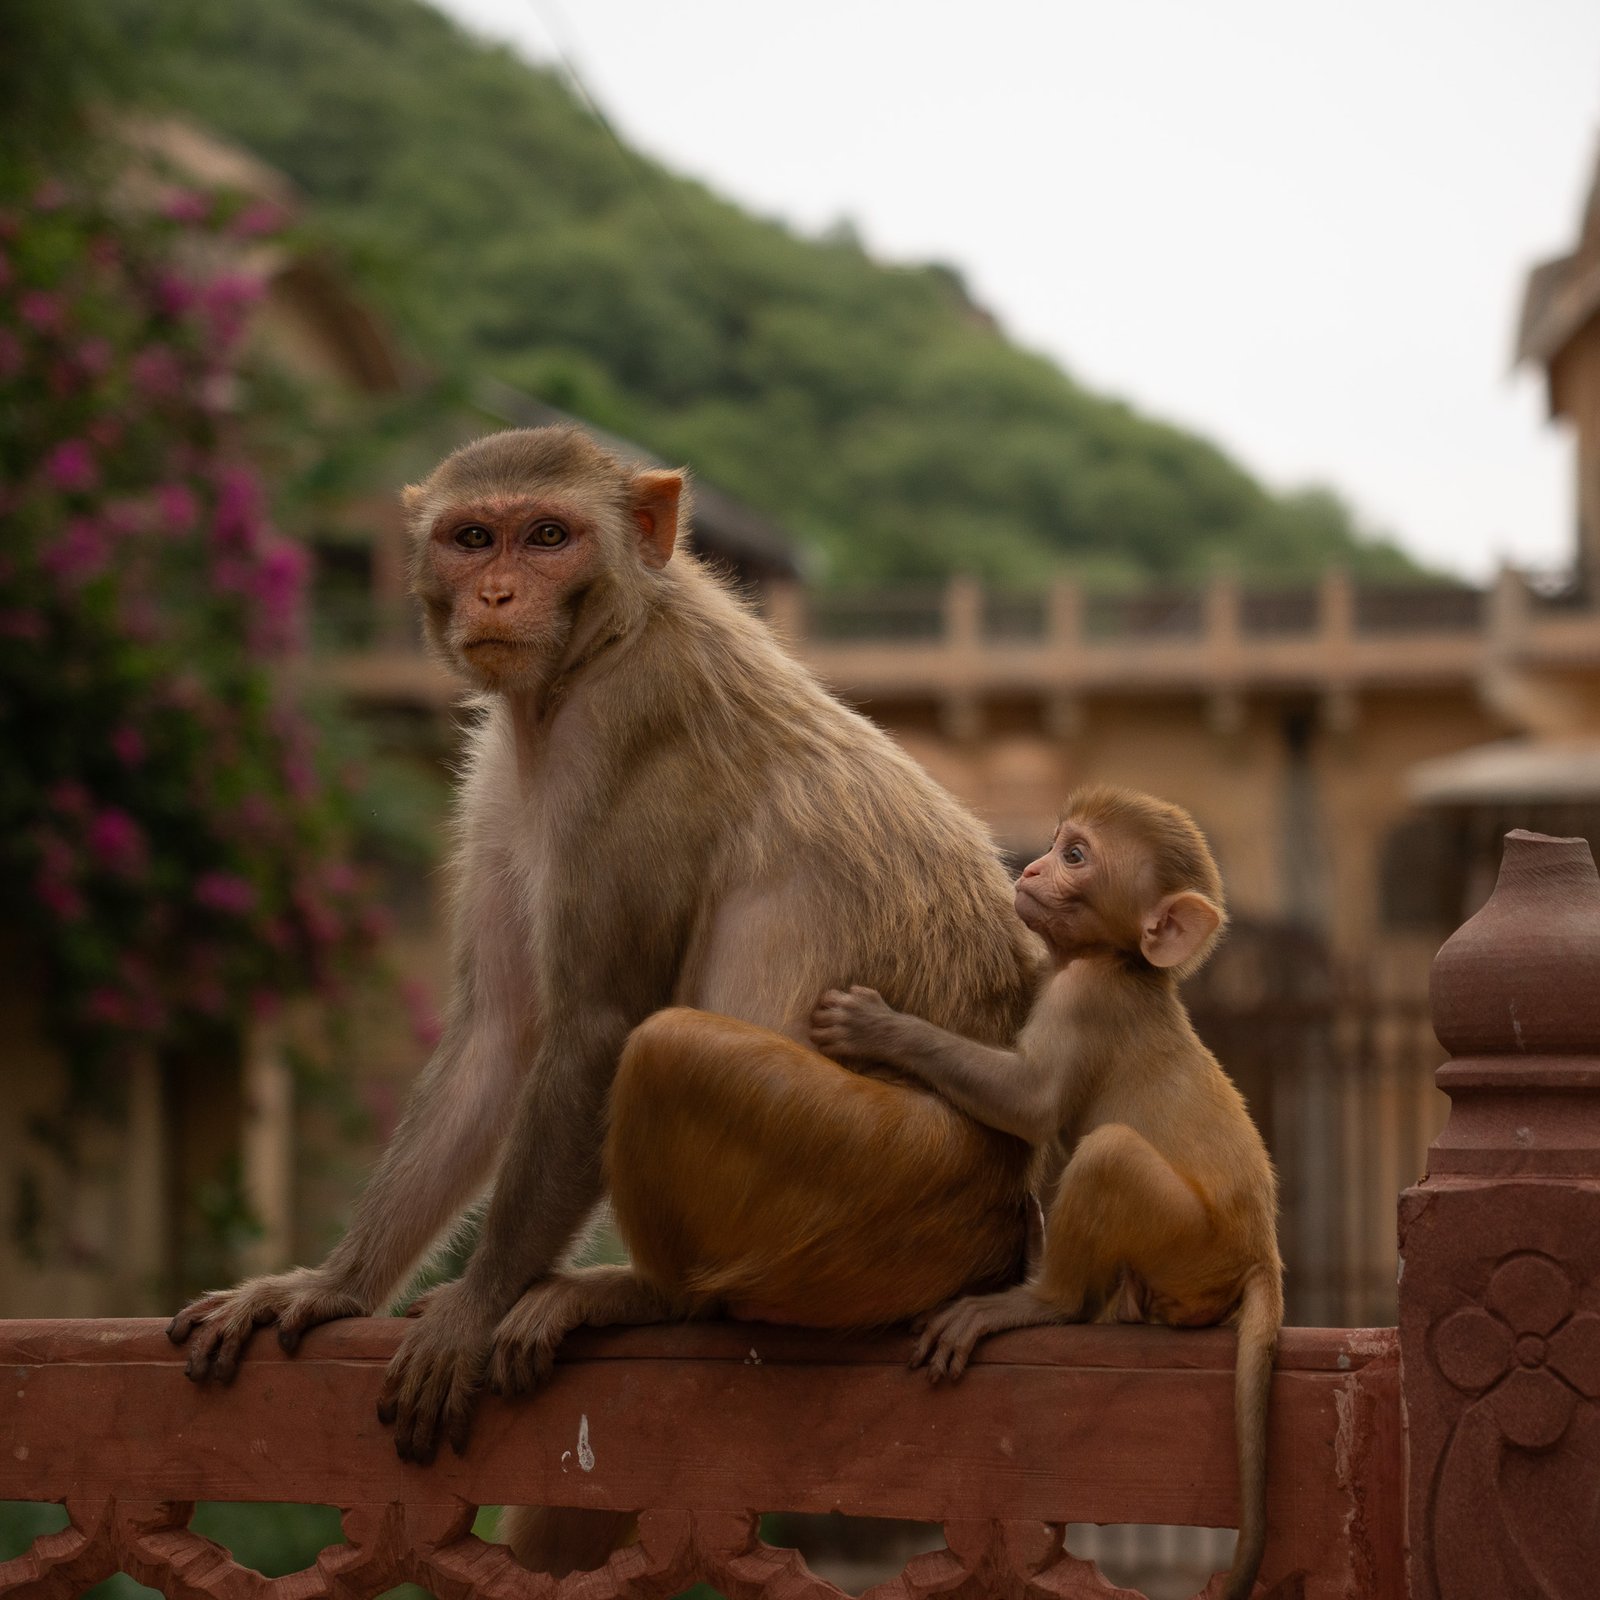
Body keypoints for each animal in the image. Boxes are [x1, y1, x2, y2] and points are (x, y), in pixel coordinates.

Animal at [166, 425, 1042, 1574]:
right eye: (472, 537)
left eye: (548, 536)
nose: (495, 592)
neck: (586, 659)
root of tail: (1007, 1226)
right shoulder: (500, 772)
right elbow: (499, 1036)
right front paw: (329, 1286)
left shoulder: (630, 738)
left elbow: (594, 1031)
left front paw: (477, 1304)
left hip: (894, 1190)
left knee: (667, 1052)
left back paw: (636, 1294)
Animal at [810, 786, 1282, 1600]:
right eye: (1060, 843)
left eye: (1076, 856)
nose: (1029, 868)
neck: (1115, 960)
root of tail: (1261, 1253)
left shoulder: (1085, 998)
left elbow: (1030, 1103)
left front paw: (879, 1027)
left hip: (1191, 1242)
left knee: (1108, 1155)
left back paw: (1038, 1300)